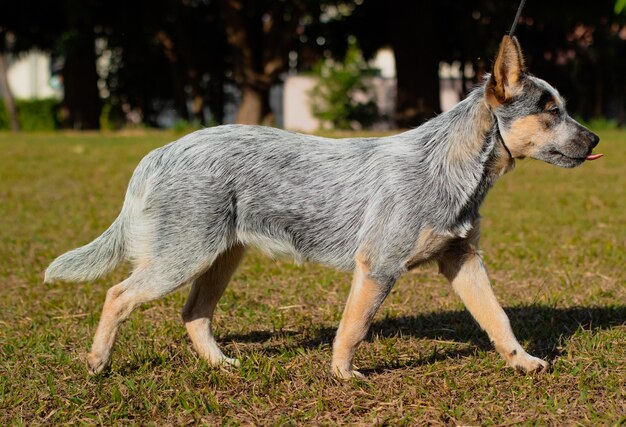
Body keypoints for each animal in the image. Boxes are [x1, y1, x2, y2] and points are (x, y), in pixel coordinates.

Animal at [44, 36, 600, 378]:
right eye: (551, 110)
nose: (596, 139)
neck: (450, 168)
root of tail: (159, 152)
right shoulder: (378, 267)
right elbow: (353, 327)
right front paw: (343, 374)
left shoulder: (462, 260)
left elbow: (497, 319)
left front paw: (522, 362)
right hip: (181, 258)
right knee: (117, 295)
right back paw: (97, 363)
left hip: (219, 259)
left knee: (193, 314)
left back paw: (221, 365)